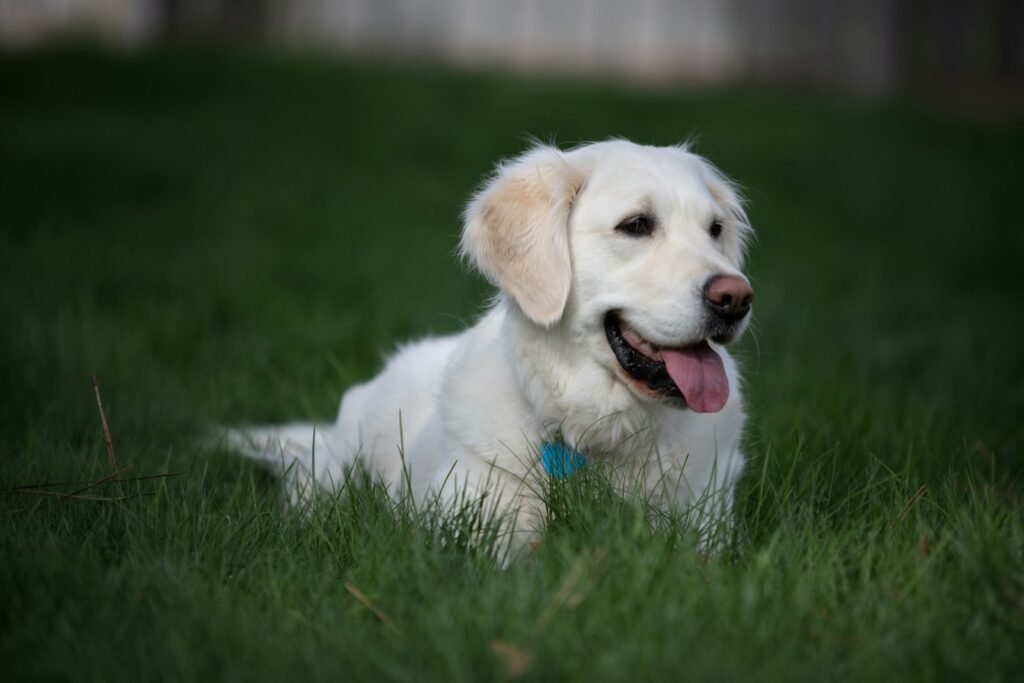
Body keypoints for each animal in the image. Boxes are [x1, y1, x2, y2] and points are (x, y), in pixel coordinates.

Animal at [224, 139, 753, 557]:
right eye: (637, 224)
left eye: (715, 229)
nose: (737, 298)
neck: (596, 434)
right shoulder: (475, 524)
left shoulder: (707, 520)